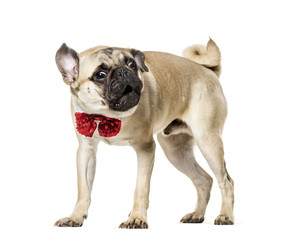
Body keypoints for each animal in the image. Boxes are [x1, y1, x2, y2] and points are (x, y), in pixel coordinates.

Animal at [53, 38, 233, 228]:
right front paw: (75, 217)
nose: (123, 72)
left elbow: (141, 188)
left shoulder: (145, 149)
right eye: (100, 75)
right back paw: (197, 215)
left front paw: (137, 218)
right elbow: (83, 189)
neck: (108, 117)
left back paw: (226, 216)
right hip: (176, 152)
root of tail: (208, 71)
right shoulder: (86, 151)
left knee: (226, 182)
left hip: (208, 142)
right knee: (203, 180)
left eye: (131, 64)